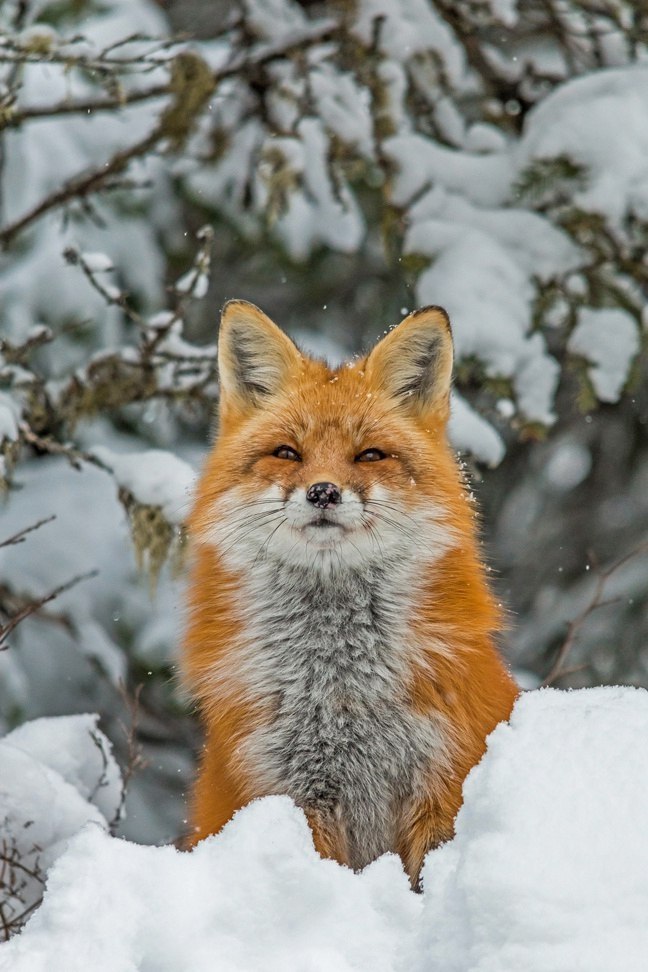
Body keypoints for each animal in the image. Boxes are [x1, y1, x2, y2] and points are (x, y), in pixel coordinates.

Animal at [181, 299, 519, 886]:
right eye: (287, 452)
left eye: (370, 455)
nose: (323, 492)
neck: (339, 690)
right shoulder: (291, 792)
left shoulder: (442, 783)